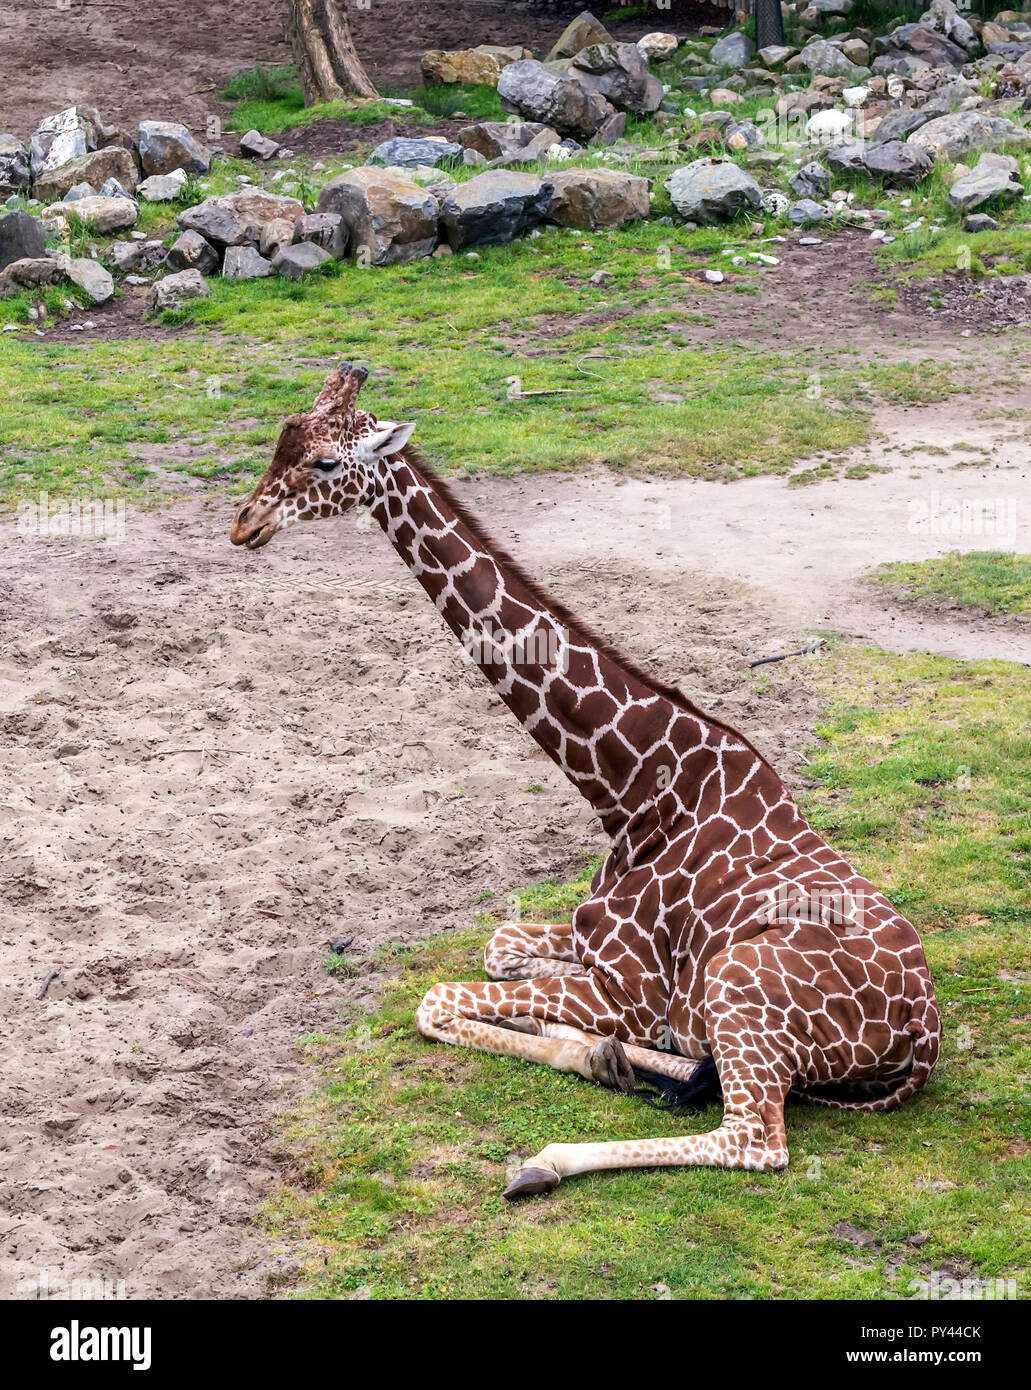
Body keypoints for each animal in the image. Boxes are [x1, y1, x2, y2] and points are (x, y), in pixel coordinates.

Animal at [232, 364, 944, 1200]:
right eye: (280, 441)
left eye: (325, 463)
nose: (244, 525)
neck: (628, 789)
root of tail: (923, 1029)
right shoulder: (586, 947)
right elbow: (500, 946)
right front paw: (580, 1037)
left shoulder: (627, 992)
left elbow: (435, 1000)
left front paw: (581, 1045)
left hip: (738, 986)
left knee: (753, 1140)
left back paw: (546, 1159)